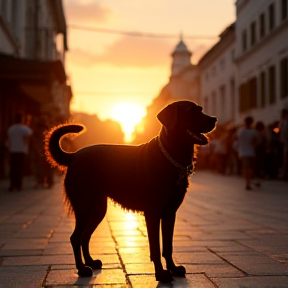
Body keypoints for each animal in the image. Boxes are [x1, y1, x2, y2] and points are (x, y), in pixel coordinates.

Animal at [45, 100, 216, 282]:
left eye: (201, 109)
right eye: (191, 111)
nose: (214, 119)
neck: (171, 157)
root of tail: (74, 156)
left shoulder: (170, 214)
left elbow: (167, 246)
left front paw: (173, 269)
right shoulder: (152, 213)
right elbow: (155, 247)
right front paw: (161, 274)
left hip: (98, 210)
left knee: (85, 236)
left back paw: (91, 262)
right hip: (83, 206)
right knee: (75, 237)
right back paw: (82, 269)